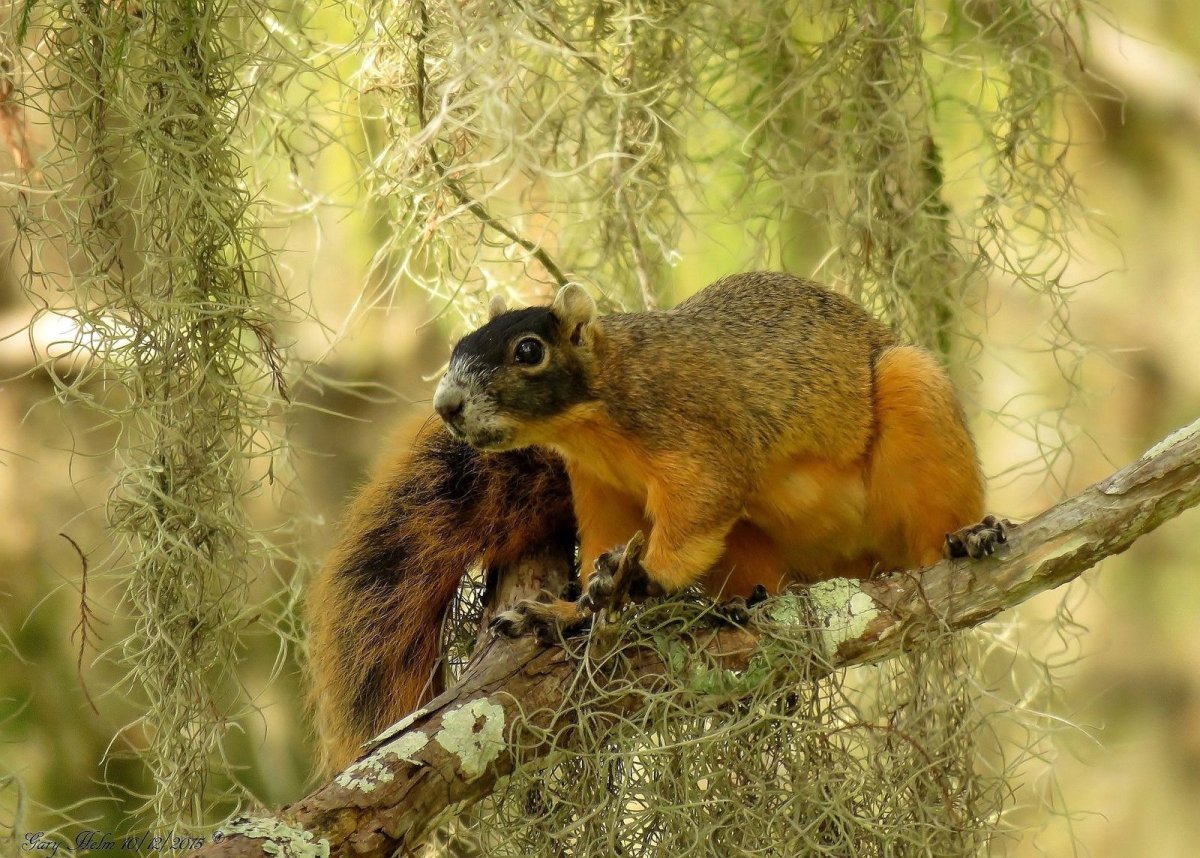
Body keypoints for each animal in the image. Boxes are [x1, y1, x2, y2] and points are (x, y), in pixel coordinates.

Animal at [307, 271, 1005, 775]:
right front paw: (568, 610)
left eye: (528, 350)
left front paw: (644, 579)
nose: (446, 405)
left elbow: (699, 503)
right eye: (456, 348)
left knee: (926, 536)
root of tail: (850, 565)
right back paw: (742, 605)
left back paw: (965, 538)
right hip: (756, 547)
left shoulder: (696, 433)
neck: (593, 421)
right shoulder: (600, 489)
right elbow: (608, 542)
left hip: (914, 406)